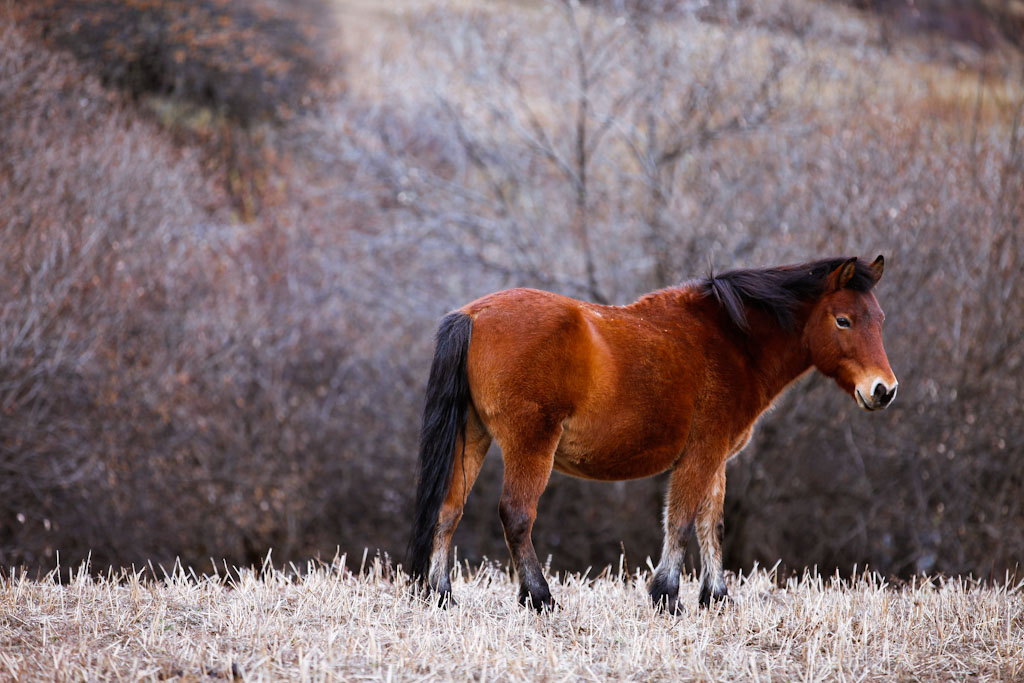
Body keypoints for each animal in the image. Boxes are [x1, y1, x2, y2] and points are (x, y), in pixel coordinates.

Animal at [407, 255, 897, 614]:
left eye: (879, 318)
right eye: (843, 320)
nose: (884, 390)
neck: (730, 341)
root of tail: (473, 314)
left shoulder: (716, 458)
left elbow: (712, 523)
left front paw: (716, 597)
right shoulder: (702, 452)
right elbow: (680, 519)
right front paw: (666, 595)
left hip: (472, 438)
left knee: (449, 510)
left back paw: (441, 596)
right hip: (531, 445)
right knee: (516, 515)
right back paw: (540, 598)